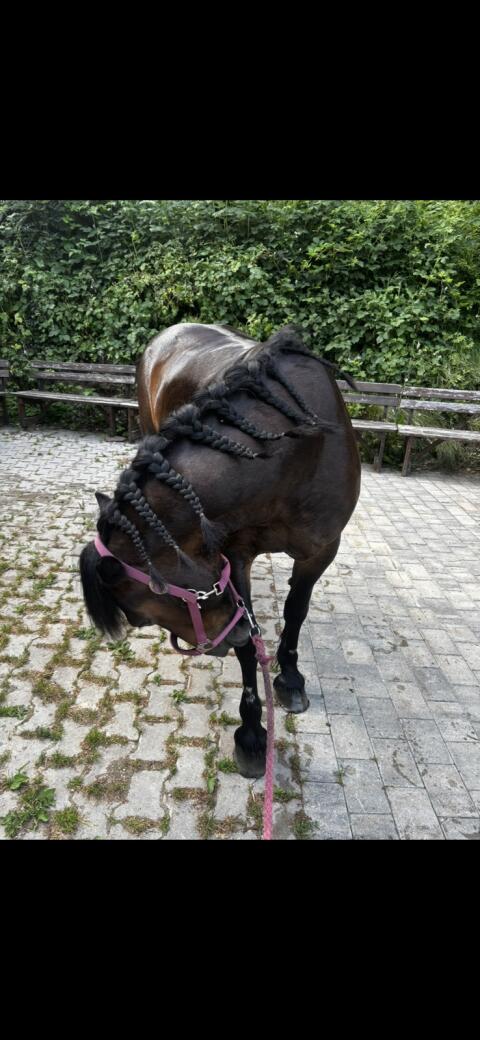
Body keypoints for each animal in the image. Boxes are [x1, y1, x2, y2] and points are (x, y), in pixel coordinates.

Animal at [79, 323, 361, 778]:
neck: (294, 449)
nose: (228, 635)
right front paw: (252, 735)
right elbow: (250, 645)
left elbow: (295, 613)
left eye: (137, 613)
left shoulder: (320, 551)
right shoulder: (235, 557)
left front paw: (289, 680)